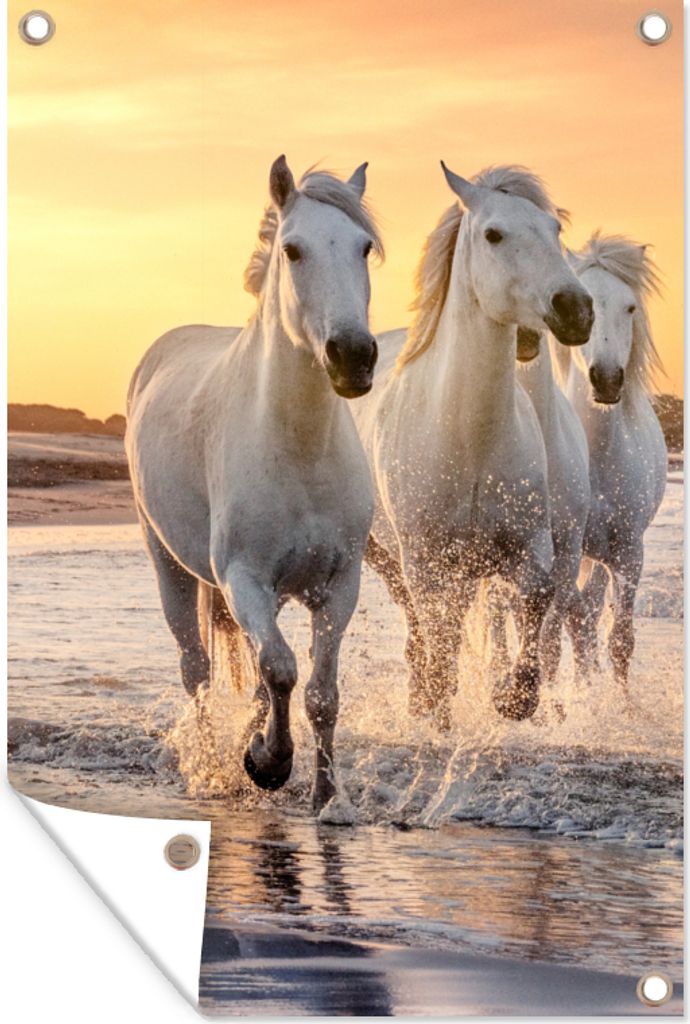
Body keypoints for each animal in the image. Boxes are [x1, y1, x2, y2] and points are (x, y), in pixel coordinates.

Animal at [125, 156, 384, 813]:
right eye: (292, 250)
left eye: (364, 248)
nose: (353, 356)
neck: (298, 448)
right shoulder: (242, 577)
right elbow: (283, 670)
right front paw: (268, 763)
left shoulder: (339, 585)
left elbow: (318, 691)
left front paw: (325, 796)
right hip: (169, 564)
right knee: (197, 670)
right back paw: (215, 766)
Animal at [353, 163, 593, 731]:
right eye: (493, 234)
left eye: (555, 230)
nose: (575, 309)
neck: (470, 439)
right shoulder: (424, 561)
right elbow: (439, 639)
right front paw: (439, 710)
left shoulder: (530, 547)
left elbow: (537, 600)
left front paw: (513, 698)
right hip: (388, 557)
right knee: (420, 629)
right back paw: (422, 702)